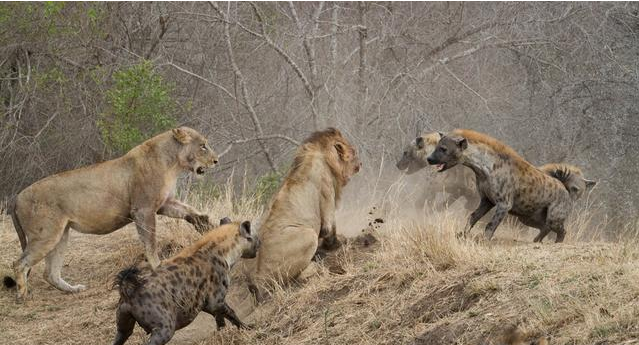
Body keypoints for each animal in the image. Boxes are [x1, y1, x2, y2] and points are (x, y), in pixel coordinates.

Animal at [2, 125, 219, 298]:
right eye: (203, 145)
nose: (216, 161)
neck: (172, 162)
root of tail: (17, 197)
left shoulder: (163, 203)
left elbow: (188, 210)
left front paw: (204, 223)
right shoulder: (143, 209)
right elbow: (150, 242)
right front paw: (158, 267)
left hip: (61, 234)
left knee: (50, 273)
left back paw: (73, 289)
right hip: (46, 234)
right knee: (19, 263)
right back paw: (23, 296)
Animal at [248, 127, 362, 300]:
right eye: (354, 151)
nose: (360, 163)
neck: (324, 155)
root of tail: (259, 278)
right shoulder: (327, 197)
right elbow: (331, 230)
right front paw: (338, 243)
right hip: (308, 235)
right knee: (297, 276)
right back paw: (316, 262)